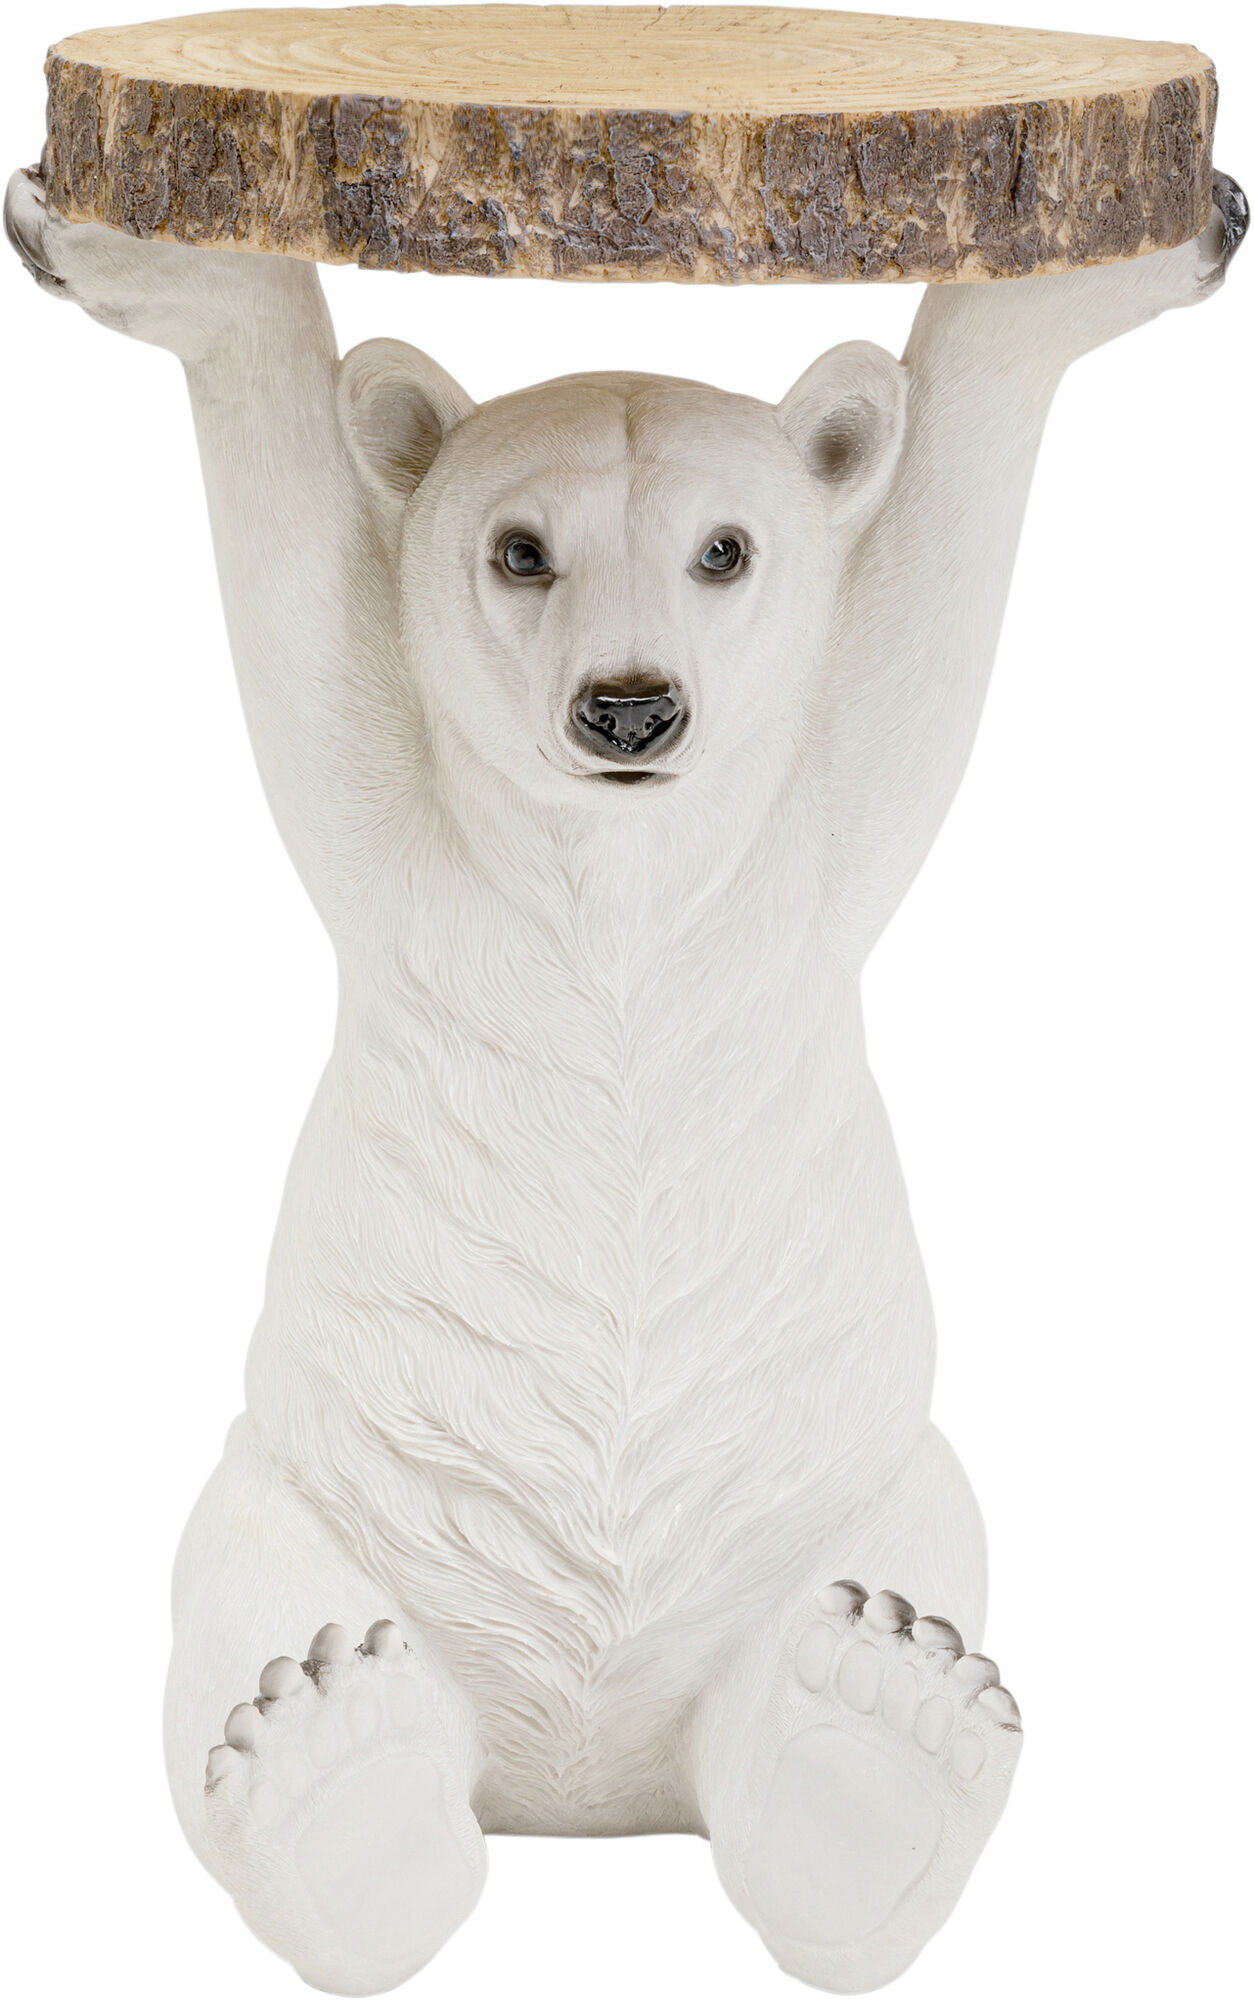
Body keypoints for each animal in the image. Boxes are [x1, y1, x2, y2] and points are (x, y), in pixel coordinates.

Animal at [5, 160, 1246, 1997]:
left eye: (722, 549)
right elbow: (304, 598)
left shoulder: (800, 849)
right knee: (245, 1635)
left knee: (870, 1630)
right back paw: (333, 1773)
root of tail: (582, 1789)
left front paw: (1138, 238)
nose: (631, 709)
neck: (617, 885)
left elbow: (926, 595)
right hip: (295, 1506)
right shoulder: (411, 852)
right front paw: (130, 242)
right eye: (519, 550)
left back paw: (875, 1741)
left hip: (863, 1503)